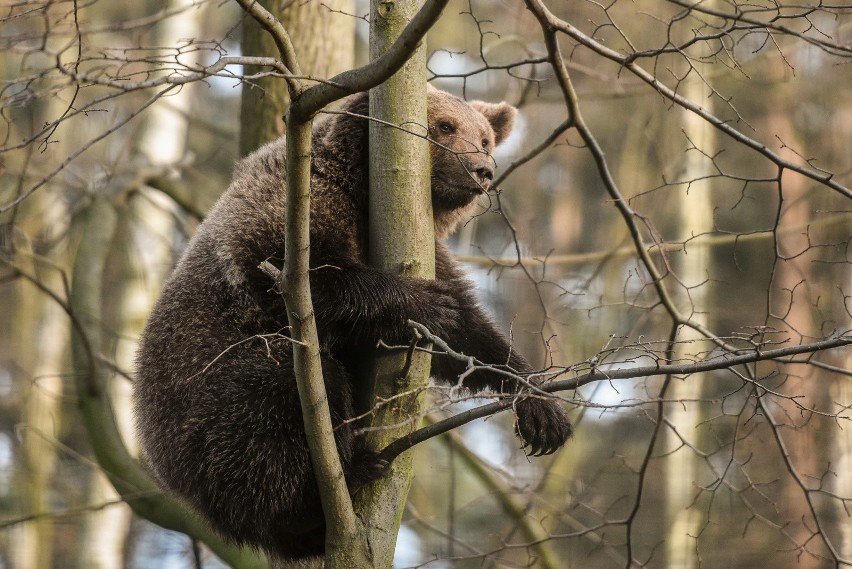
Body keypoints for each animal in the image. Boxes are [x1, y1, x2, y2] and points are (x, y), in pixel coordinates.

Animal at [135, 86, 572, 560]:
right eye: (444, 126)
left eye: (486, 139)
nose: (481, 170)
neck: (360, 191)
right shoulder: (293, 210)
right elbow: (300, 278)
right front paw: (424, 304)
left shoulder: (427, 250)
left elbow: (469, 338)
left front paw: (541, 408)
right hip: (208, 389)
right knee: (284, 401)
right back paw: (337, 478)